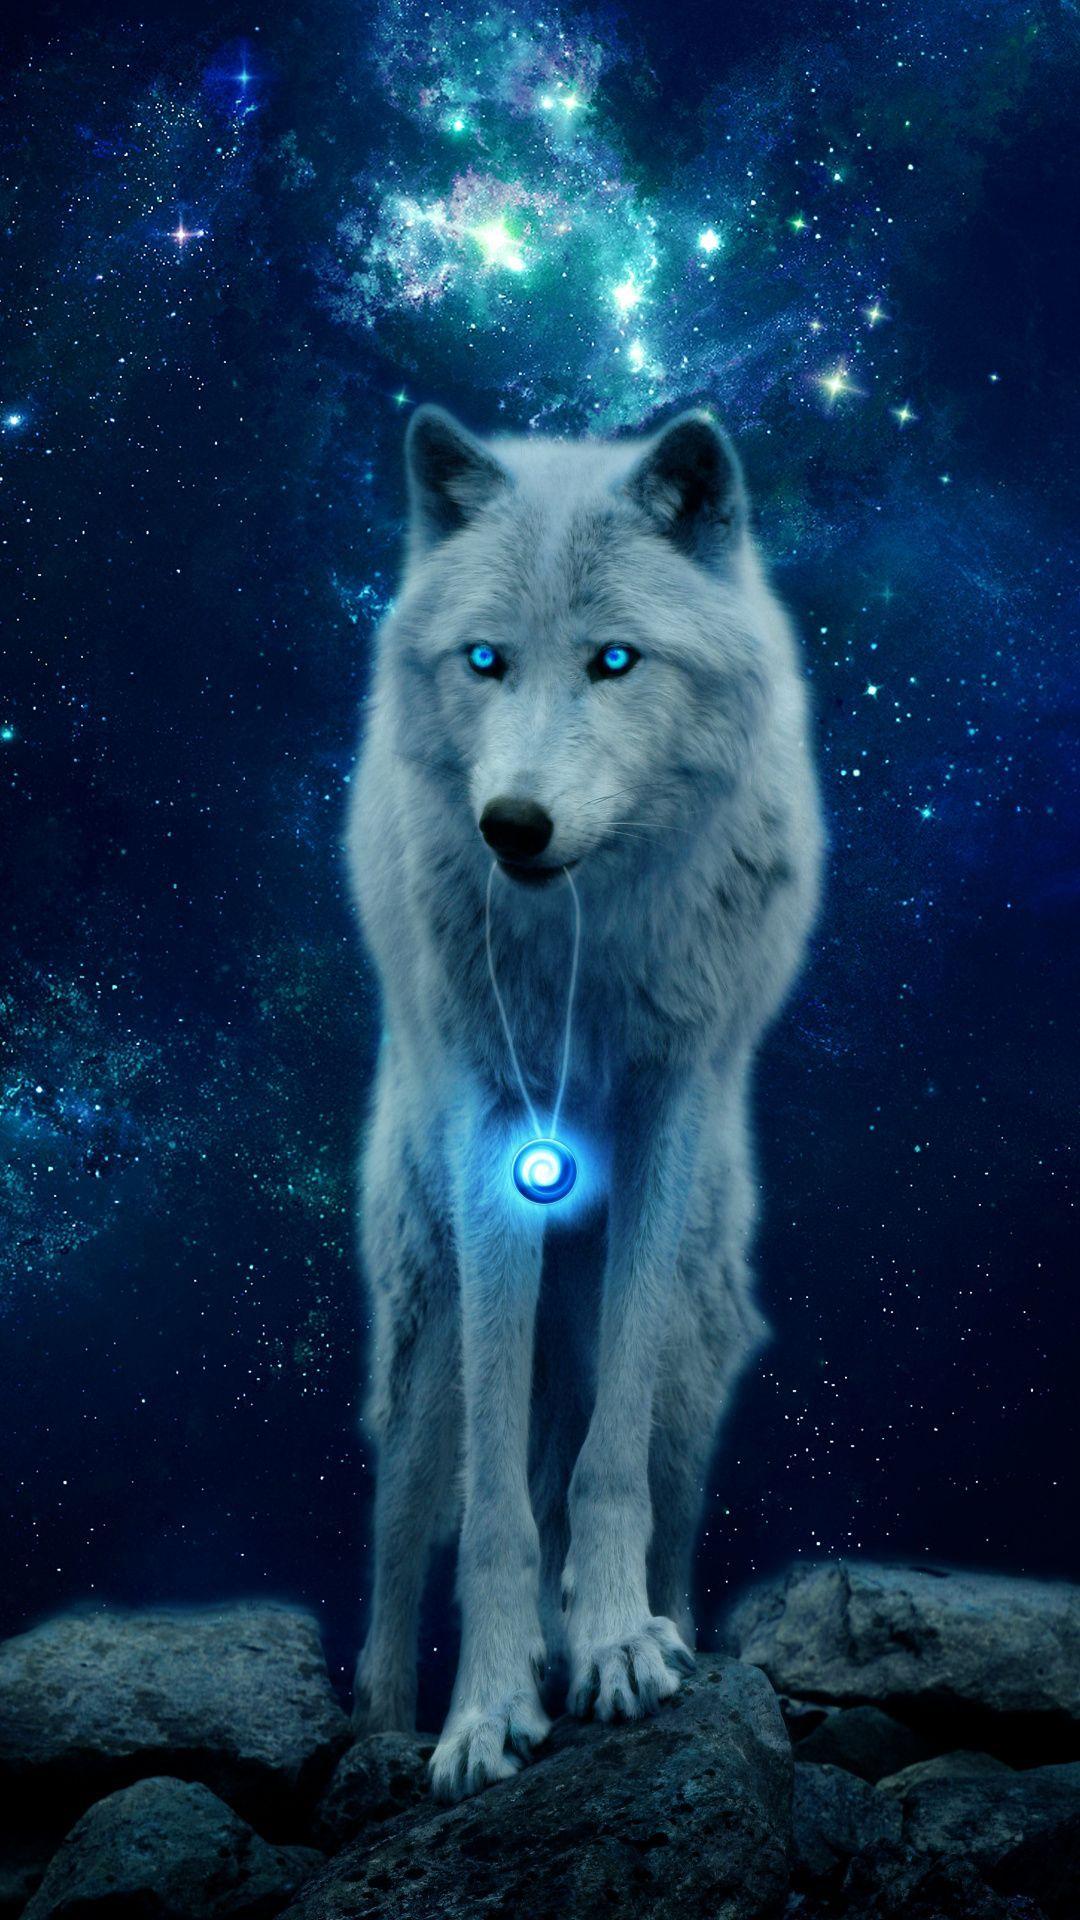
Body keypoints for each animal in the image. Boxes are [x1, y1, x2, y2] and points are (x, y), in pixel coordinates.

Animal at [346, 402, 824, 1801]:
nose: (512, 823)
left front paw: (614, 1645)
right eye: (485, 660)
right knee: (401, 1533)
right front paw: (484, 1712)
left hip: (700, 1342)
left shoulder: (667, 1111)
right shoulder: (500, 1134)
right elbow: (496, 1516)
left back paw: (645, 1628)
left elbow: (604, 1475)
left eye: (617, 660)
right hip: (425, 1320)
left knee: (647, 1483)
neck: (582, 941)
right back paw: (383, 1723)